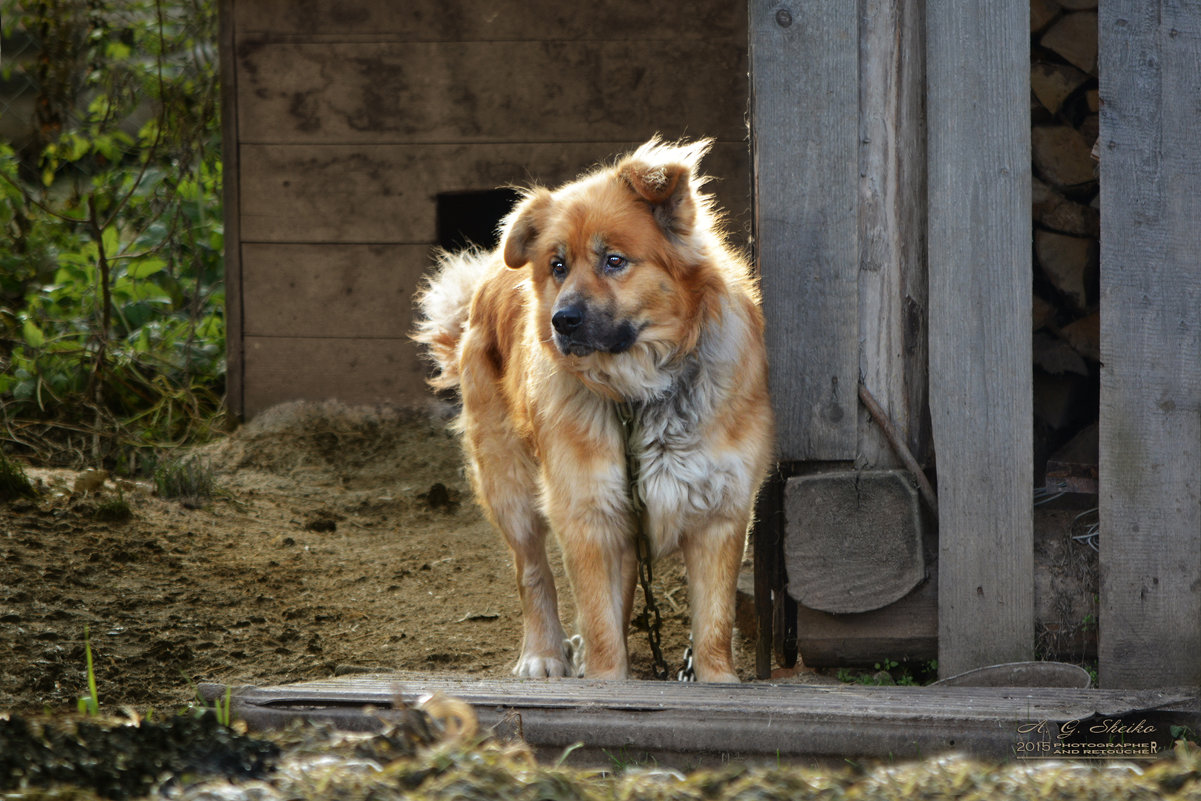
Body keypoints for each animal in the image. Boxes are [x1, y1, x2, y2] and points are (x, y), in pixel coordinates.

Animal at [410, 139, 768, 682]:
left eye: (614, 260)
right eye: (557, 266)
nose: (563, 321)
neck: (640, 393)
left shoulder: (719, 510)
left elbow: (713, 622)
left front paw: (717, 679)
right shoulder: (587, 511)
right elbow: (600, 623)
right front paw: (603, 679)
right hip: (509, 485)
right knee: (532, 571)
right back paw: (542, 653)